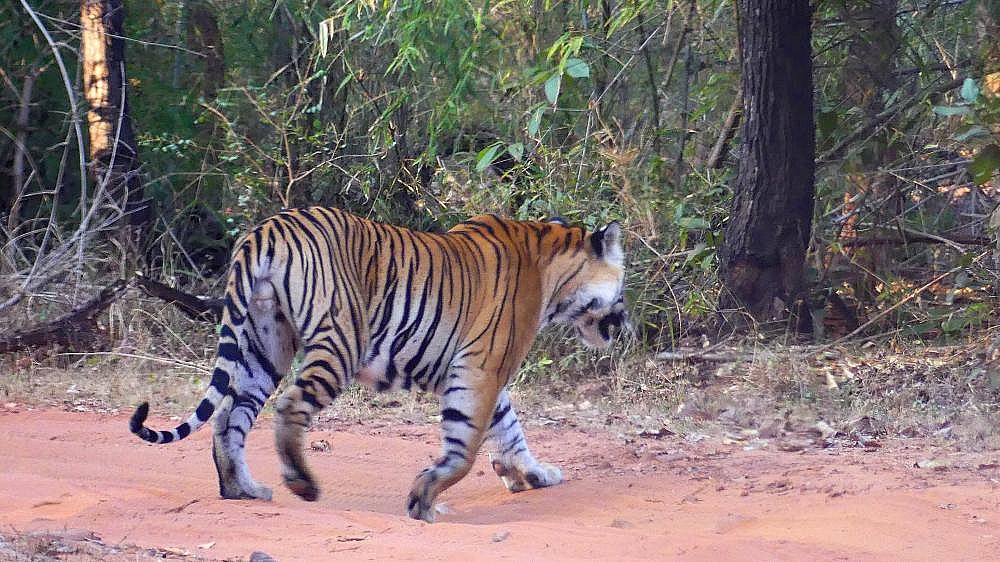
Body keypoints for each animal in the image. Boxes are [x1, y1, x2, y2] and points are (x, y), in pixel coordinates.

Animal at [130, 207, 627, 522]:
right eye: (622, 289)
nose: (625, 324)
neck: (553, 276)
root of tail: (266, 229)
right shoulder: (480, 368)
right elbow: (466, 445)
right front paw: (424, 500)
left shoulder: (484, 370)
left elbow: (511, 428)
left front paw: (535, 474)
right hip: (341, 341)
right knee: (288, 407)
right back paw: (302, 483)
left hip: (263, 343)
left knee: (229, 417)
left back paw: (242, 489)